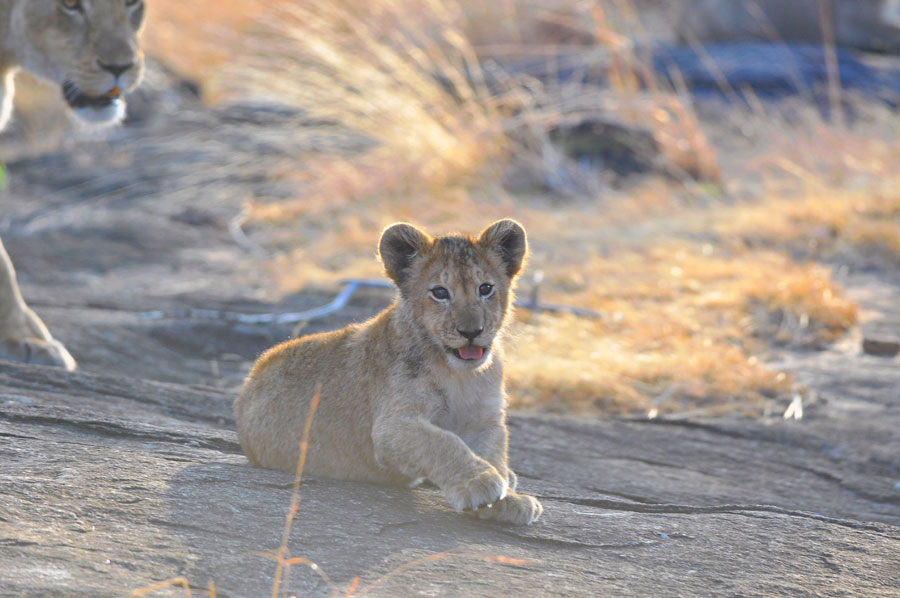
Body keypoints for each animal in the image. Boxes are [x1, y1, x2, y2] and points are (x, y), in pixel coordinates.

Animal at [234, 220, 544, 526]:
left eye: (485, 288)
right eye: (440, 293)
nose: (471, 332)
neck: (460, 375)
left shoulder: (486, 421)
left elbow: (495, 453)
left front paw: (510, 500)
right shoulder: (391, 426)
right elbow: (442, 442)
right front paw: (480, 482)